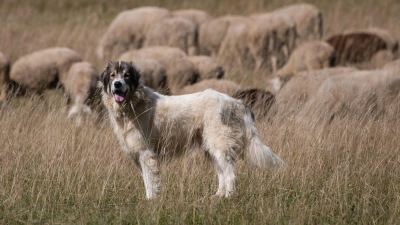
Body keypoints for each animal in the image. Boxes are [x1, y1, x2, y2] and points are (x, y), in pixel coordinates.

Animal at [99, 61, 284, 199]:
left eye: (126, 75)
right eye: (112, 75)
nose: (117, 84)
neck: (133, 104)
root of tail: (237, 102)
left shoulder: (147, 154)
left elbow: (151, 183)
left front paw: (151, 201)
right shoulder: (139, 156)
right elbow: (146, 181)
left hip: (219, 147)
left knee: (230, 175)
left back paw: (228, 198)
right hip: (211, 150)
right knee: (222, 175)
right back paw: (217, 197)